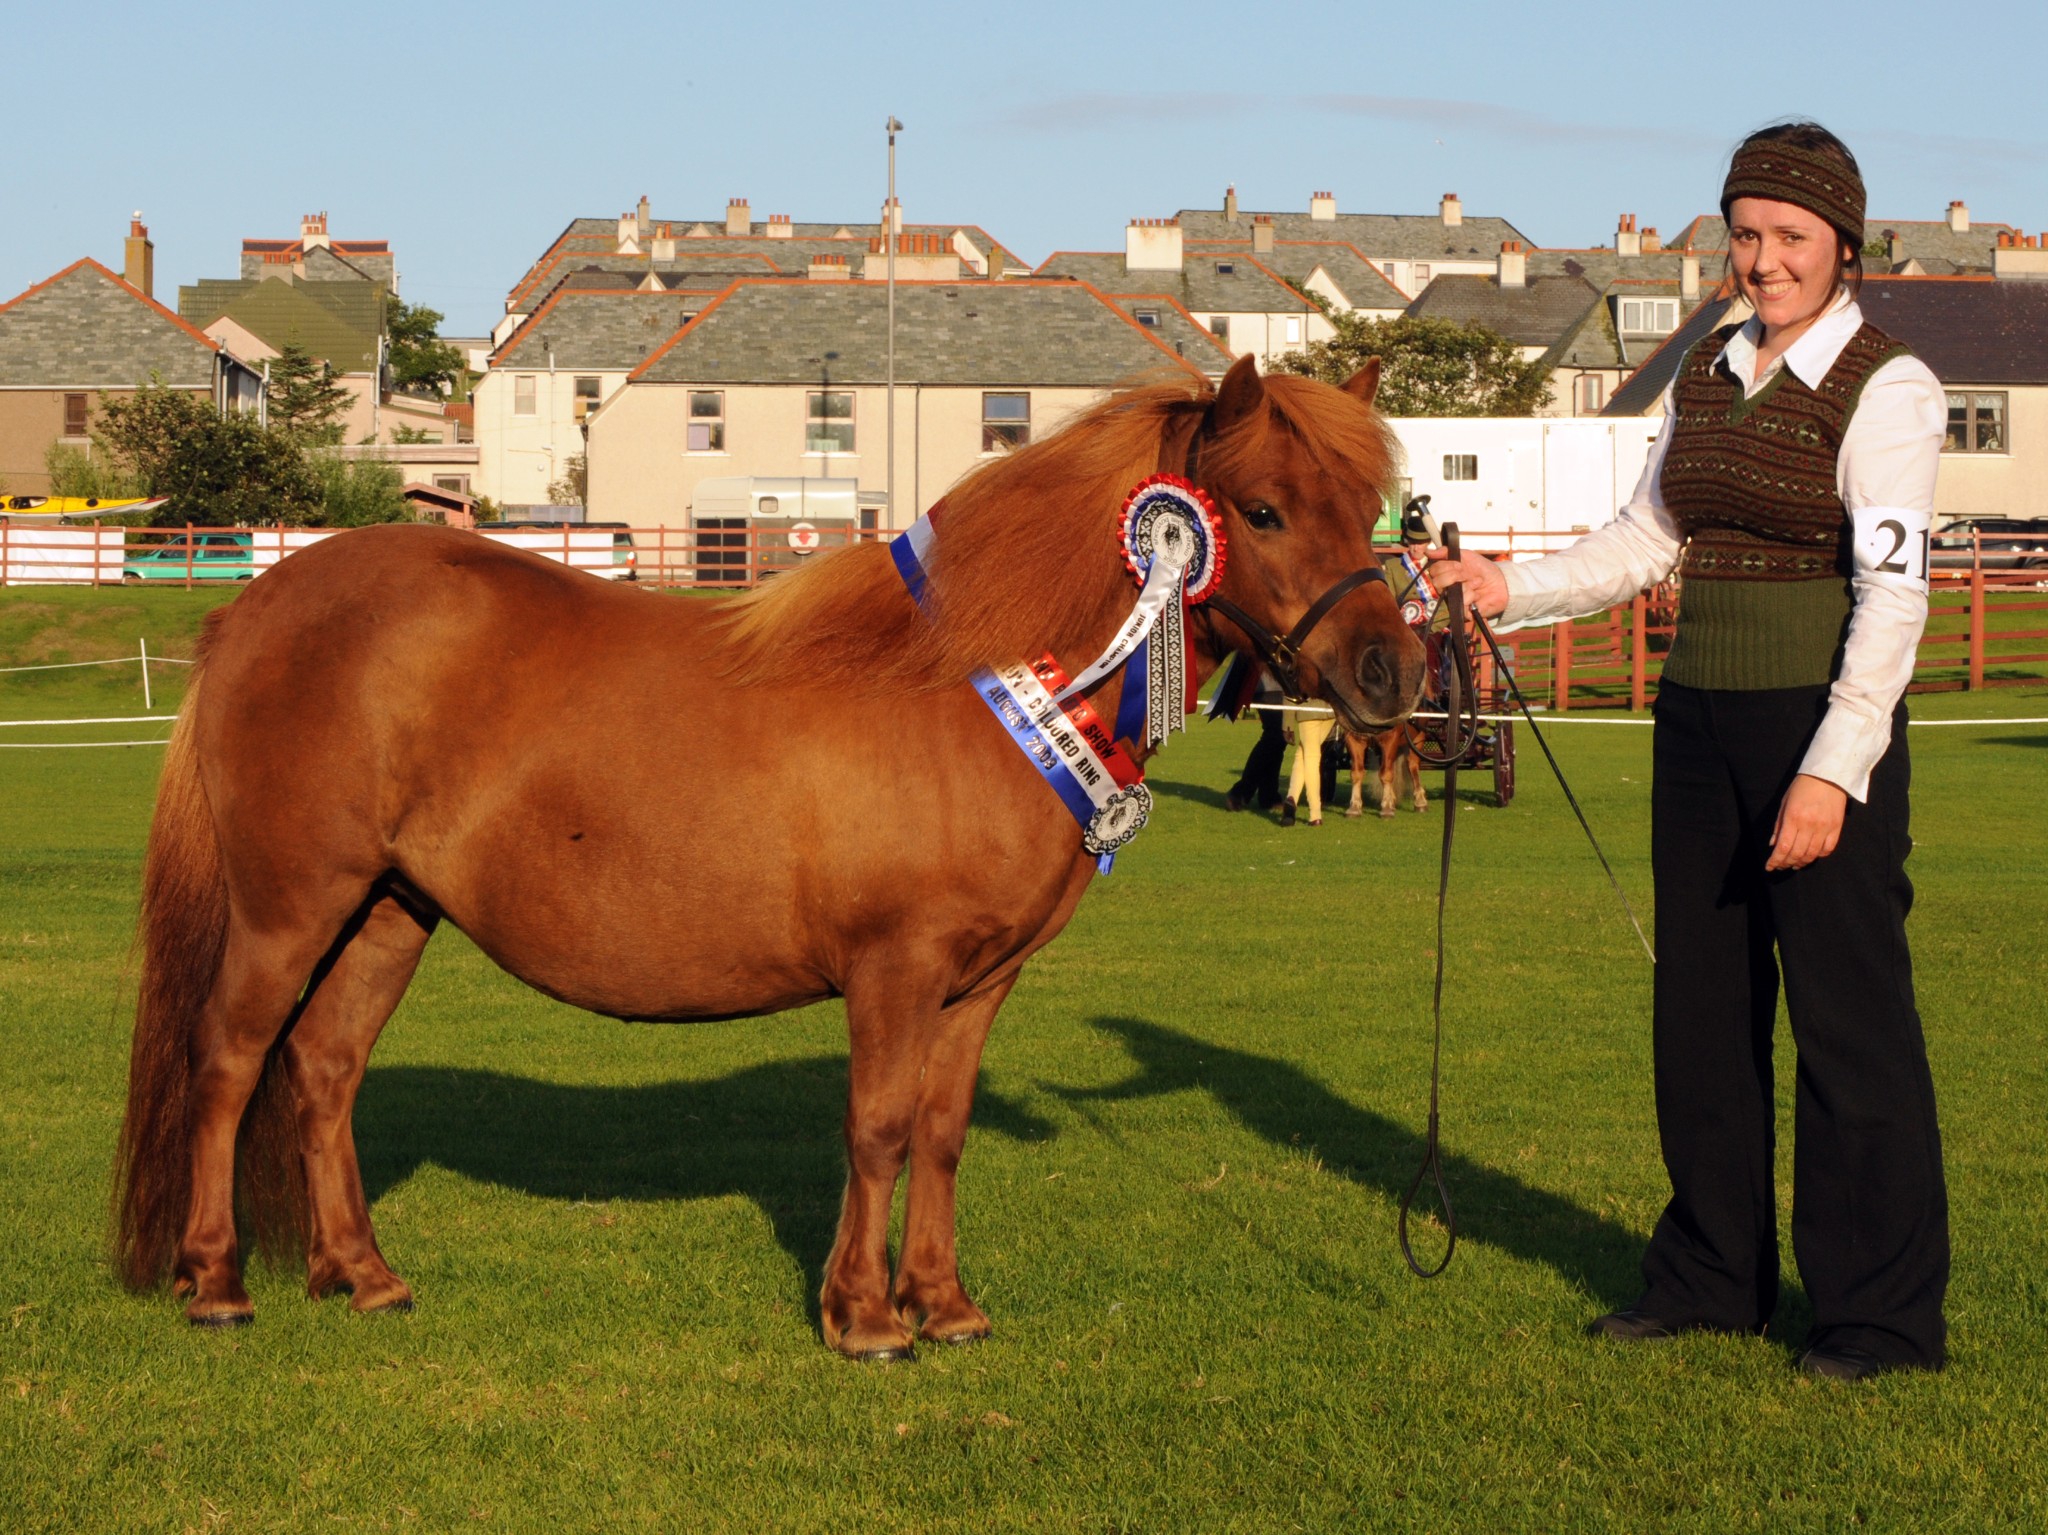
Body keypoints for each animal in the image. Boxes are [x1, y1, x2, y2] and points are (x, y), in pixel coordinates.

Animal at [112, 355, 1426, 1361]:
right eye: (1260, 509)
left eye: (1366, 504)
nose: (1389, 673)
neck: (971, 685)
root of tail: (254, 607)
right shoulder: (894, 969)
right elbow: (879, 1126)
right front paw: (865, 1317)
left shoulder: (978, 982)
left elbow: (939, 1130)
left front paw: (943, 1304)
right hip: (291, 904)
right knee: (228, 1060)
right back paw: (216, 1279)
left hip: (388, 909)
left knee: (325, 1069)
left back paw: (362, 1271)